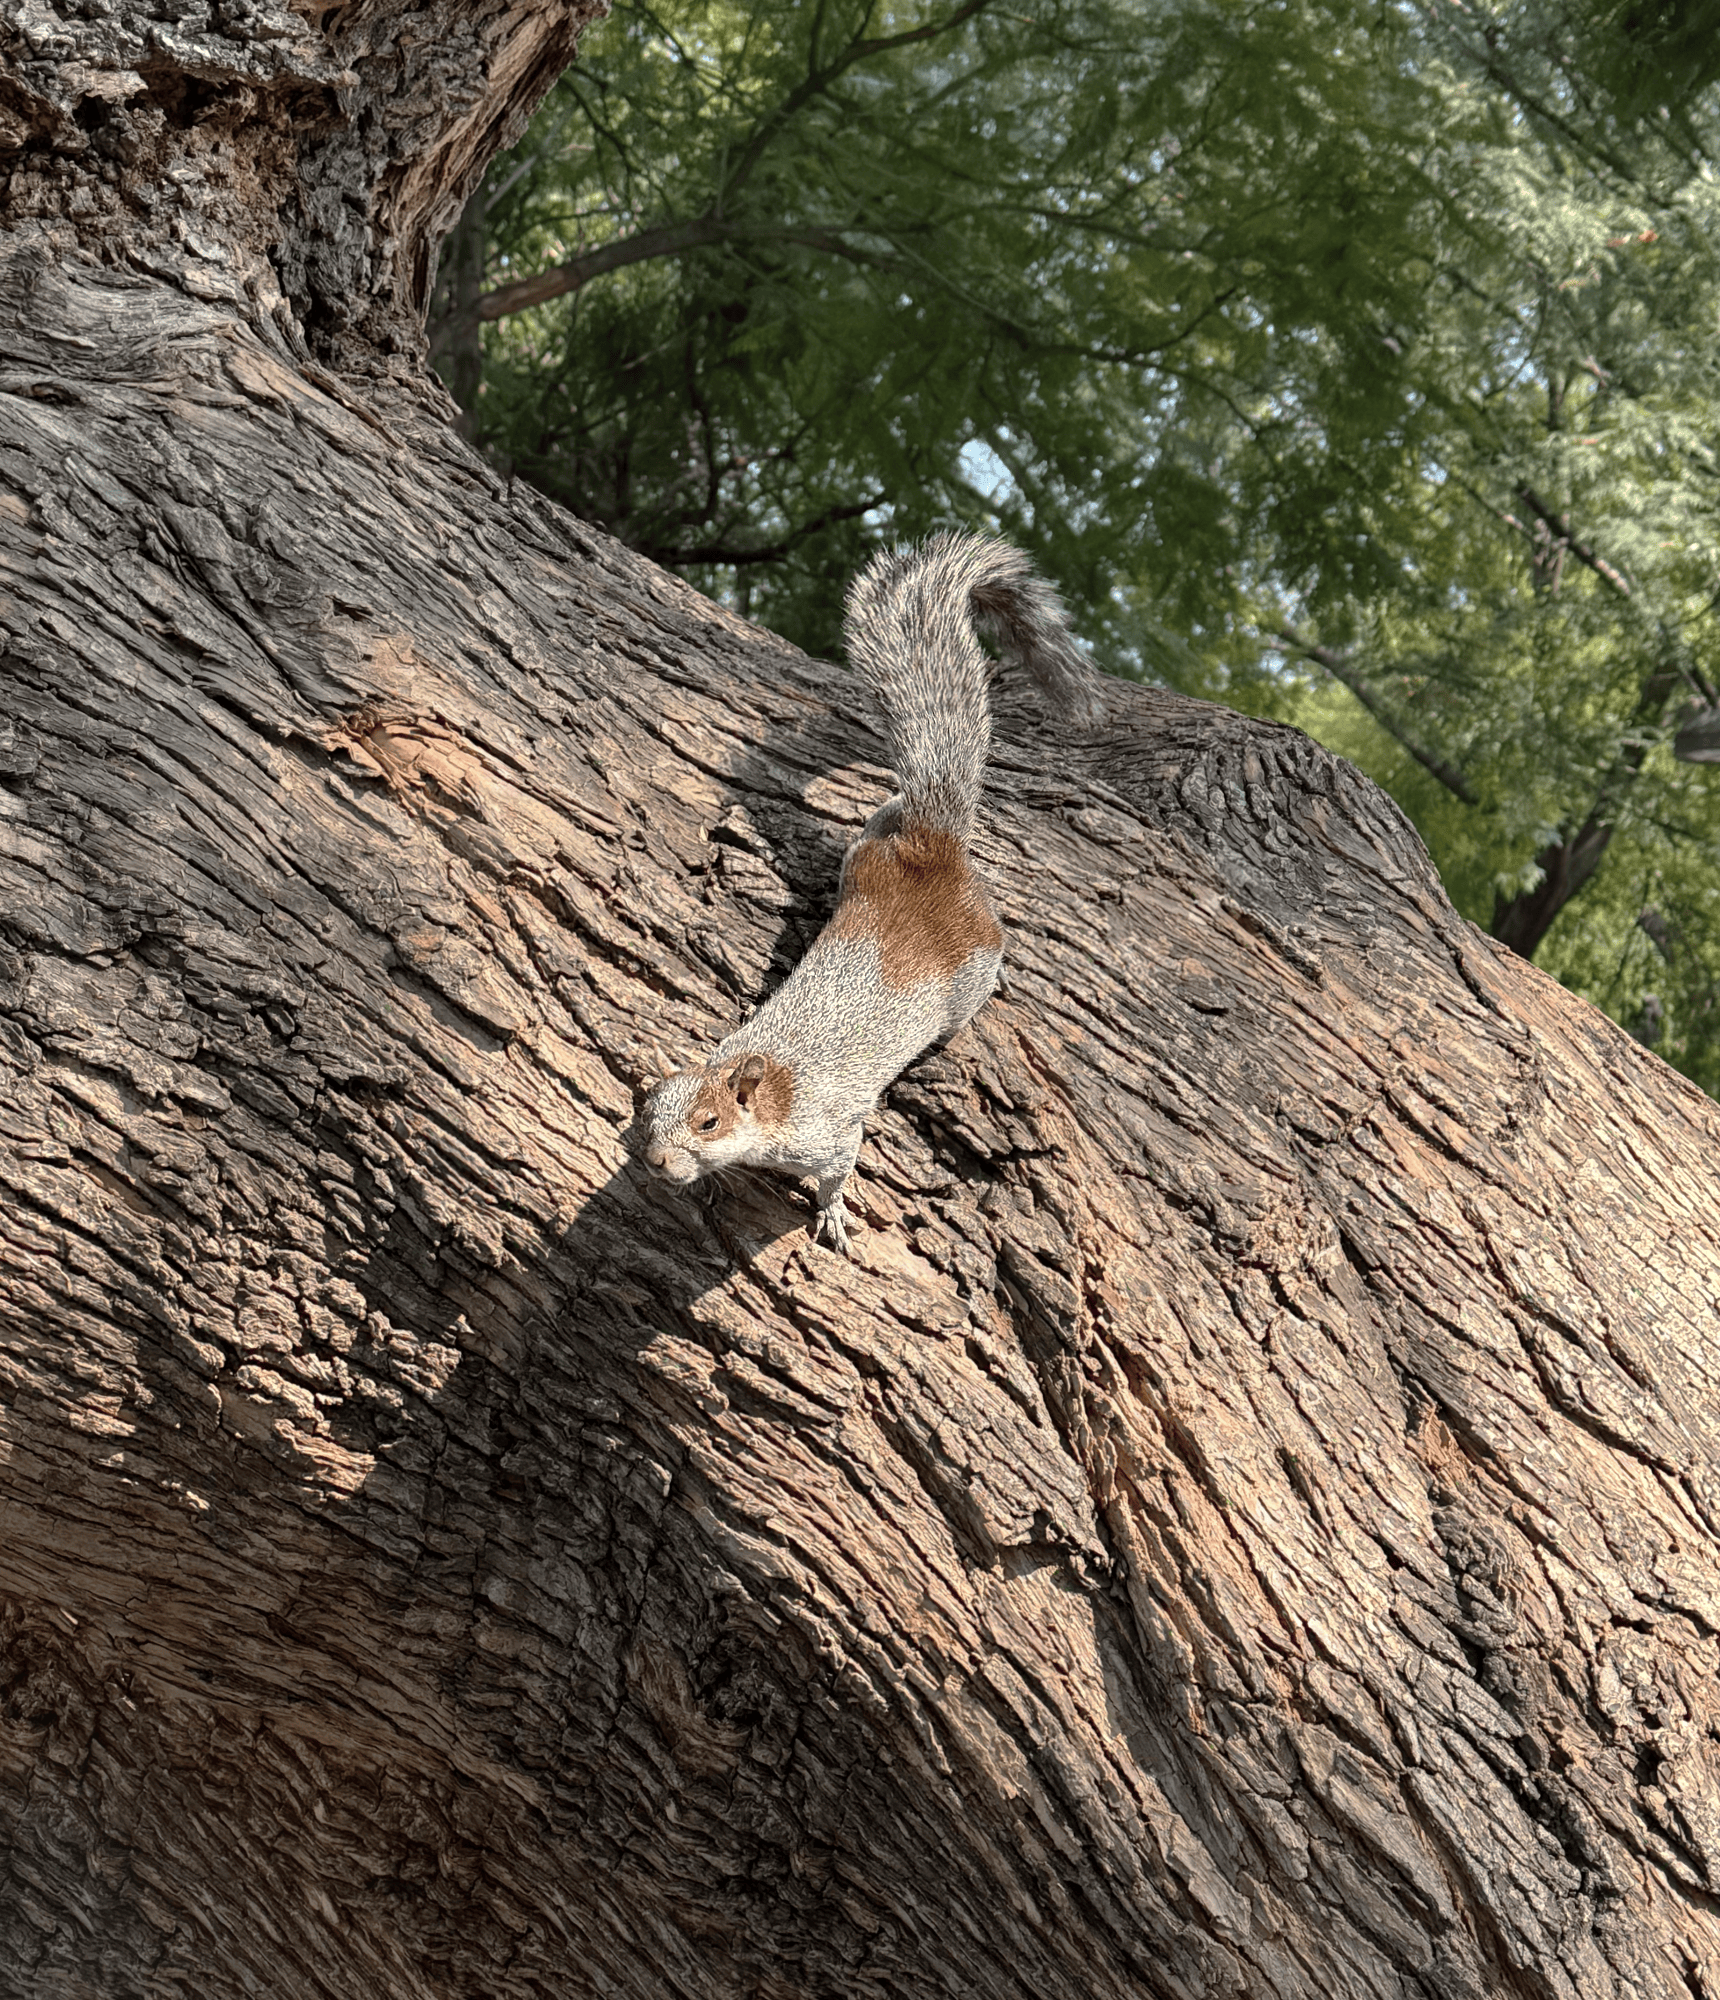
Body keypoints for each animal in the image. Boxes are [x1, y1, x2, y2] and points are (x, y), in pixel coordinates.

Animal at [636, 530, 1102, 1254]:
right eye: (646, 1108)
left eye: (710, 1122)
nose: (655, 1161)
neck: (778, 1087)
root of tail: (934, 846)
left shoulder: (829, 1132)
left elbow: (837, 1171)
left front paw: (831, 1213)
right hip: (866, 853)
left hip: (975, 969)